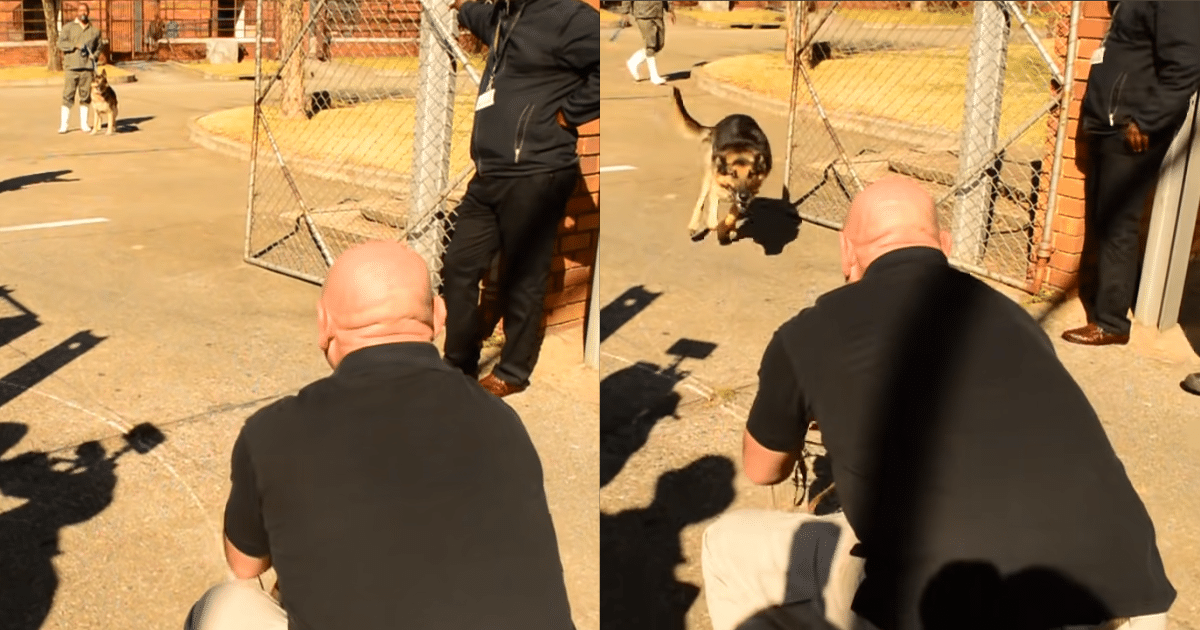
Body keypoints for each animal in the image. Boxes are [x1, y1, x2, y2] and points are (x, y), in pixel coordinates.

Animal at [672, 87, 772, 244]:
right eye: (733, 173)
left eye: (751, 174)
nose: (743, 196)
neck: (741, 150)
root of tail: (716, 126)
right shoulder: (717, 185)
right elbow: (713, 220)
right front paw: (719, 227)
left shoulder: (750, 192)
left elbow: (732, 215)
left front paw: (728, 228)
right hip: (708, 176)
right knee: (701, 200)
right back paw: (694, 225)